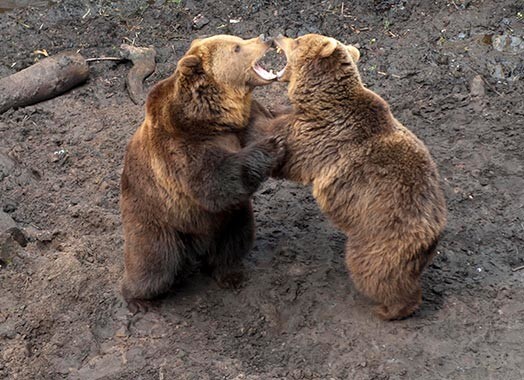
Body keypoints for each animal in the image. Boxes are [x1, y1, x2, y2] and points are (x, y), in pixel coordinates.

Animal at [119, 35, 282, 308]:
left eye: (239, 39)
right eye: (237, 47)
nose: (266, 39)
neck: (210, 118)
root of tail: (195, 247)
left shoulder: (241, 125)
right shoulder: (180, 149)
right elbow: (212, 182)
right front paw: (273, 145)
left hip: (229, 219)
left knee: (235, 239)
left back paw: (230, 274)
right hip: (155, 220)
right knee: (154, 263)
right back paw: (138, 299)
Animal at [262, 35, 446, 320]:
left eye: (299, 40)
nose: (278, 36)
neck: (319, 96)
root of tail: (433, 226)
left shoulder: (323, 135)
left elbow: (287, 150)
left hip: (381, 232)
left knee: (373, 270)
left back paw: (390, 308)